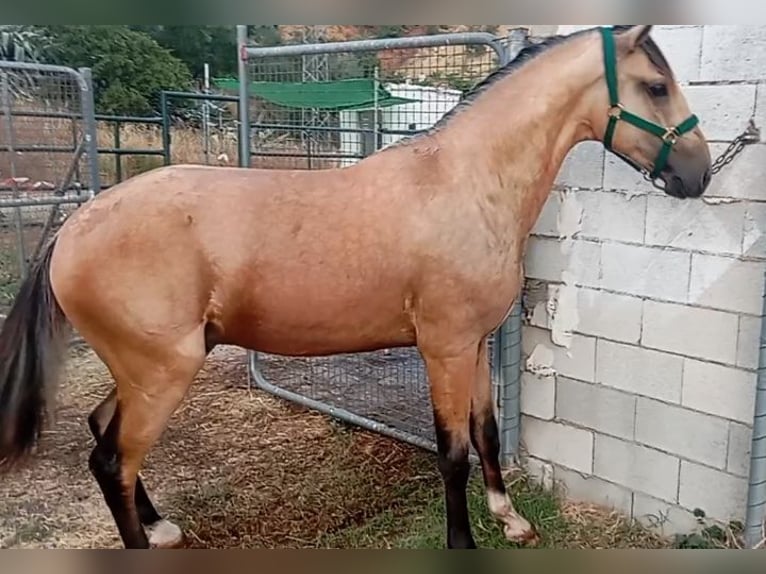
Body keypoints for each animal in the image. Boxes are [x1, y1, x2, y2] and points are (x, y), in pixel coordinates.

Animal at [0, 24, 712, 552]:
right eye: (655, 85)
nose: (699, 173)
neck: (464, 182)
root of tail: (74, 227)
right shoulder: (443, 349)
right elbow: (452, 451)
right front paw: (464, 543)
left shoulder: (475, 344)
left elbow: (486, 433)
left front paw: (510, 520)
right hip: (161, 372)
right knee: (112, 462)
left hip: (141, 370)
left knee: (104, 434)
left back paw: (160, 526)